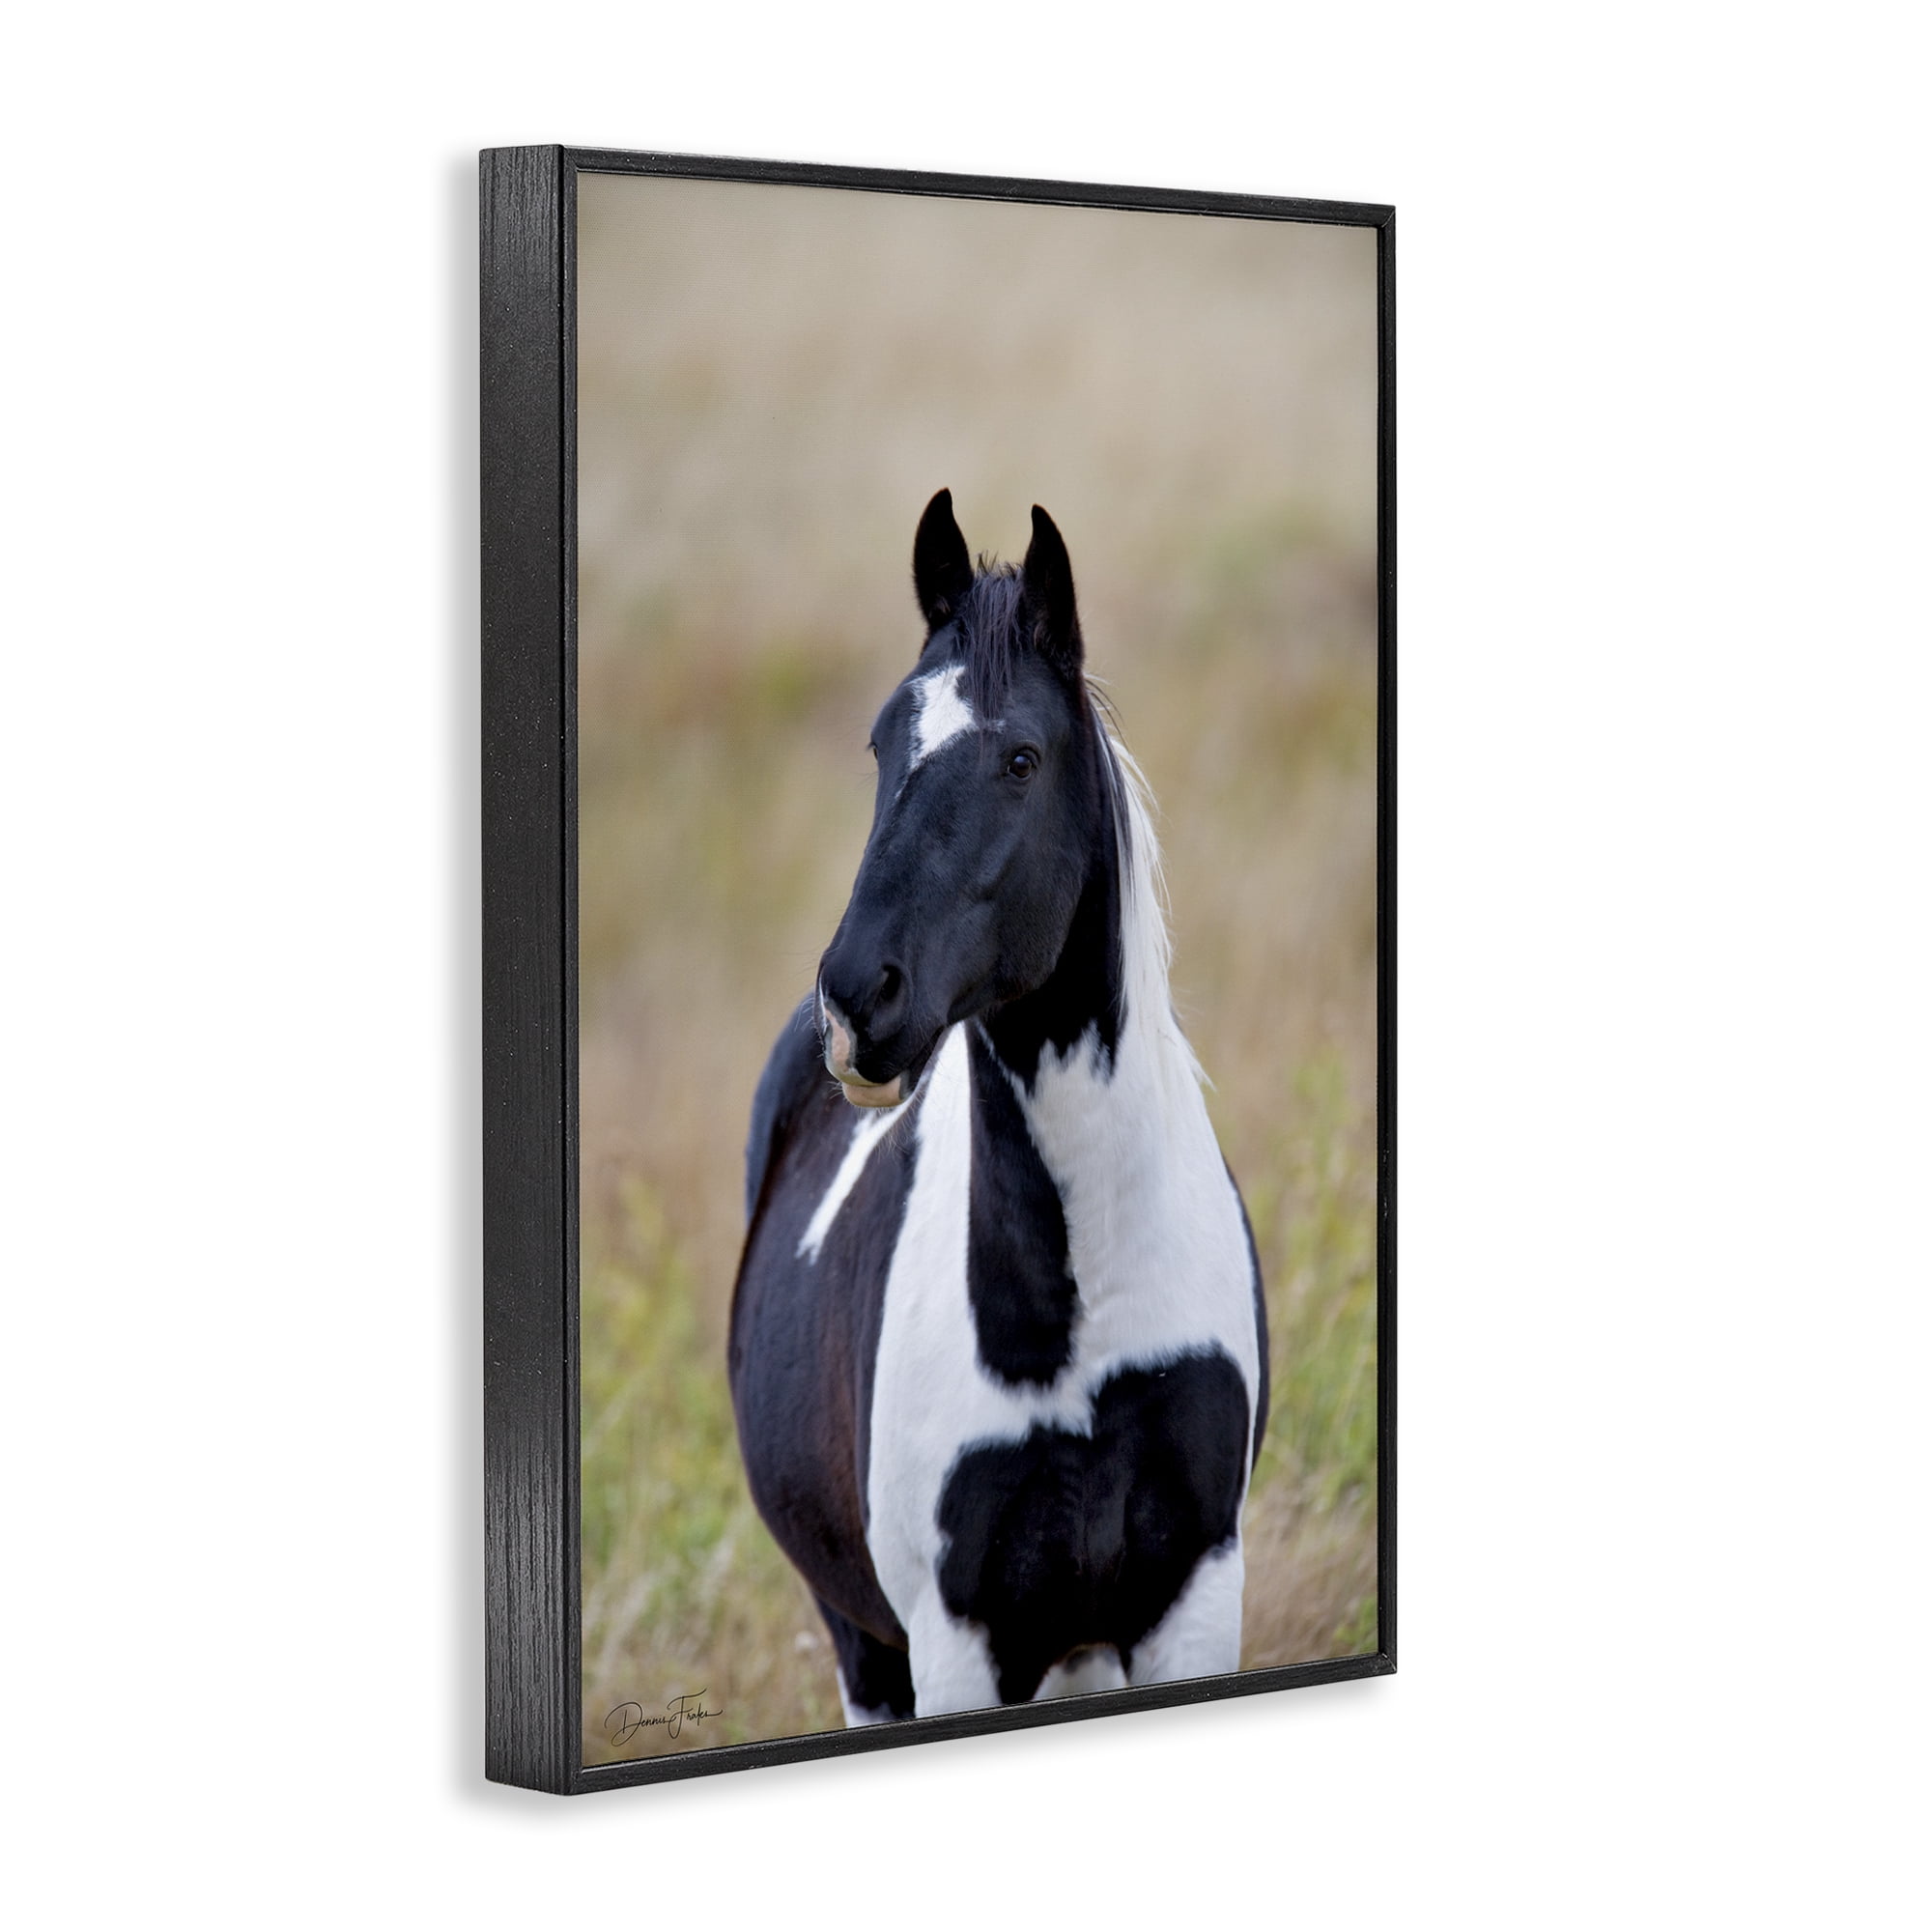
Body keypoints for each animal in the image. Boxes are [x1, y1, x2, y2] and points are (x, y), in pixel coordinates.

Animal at [728, 490, 1268, 1724]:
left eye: (1020, 756)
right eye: (882, 744)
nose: (855, 1000)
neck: (1077, 1321)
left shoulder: (1192, 1599)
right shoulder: (956, 1642)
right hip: (867, 1647)